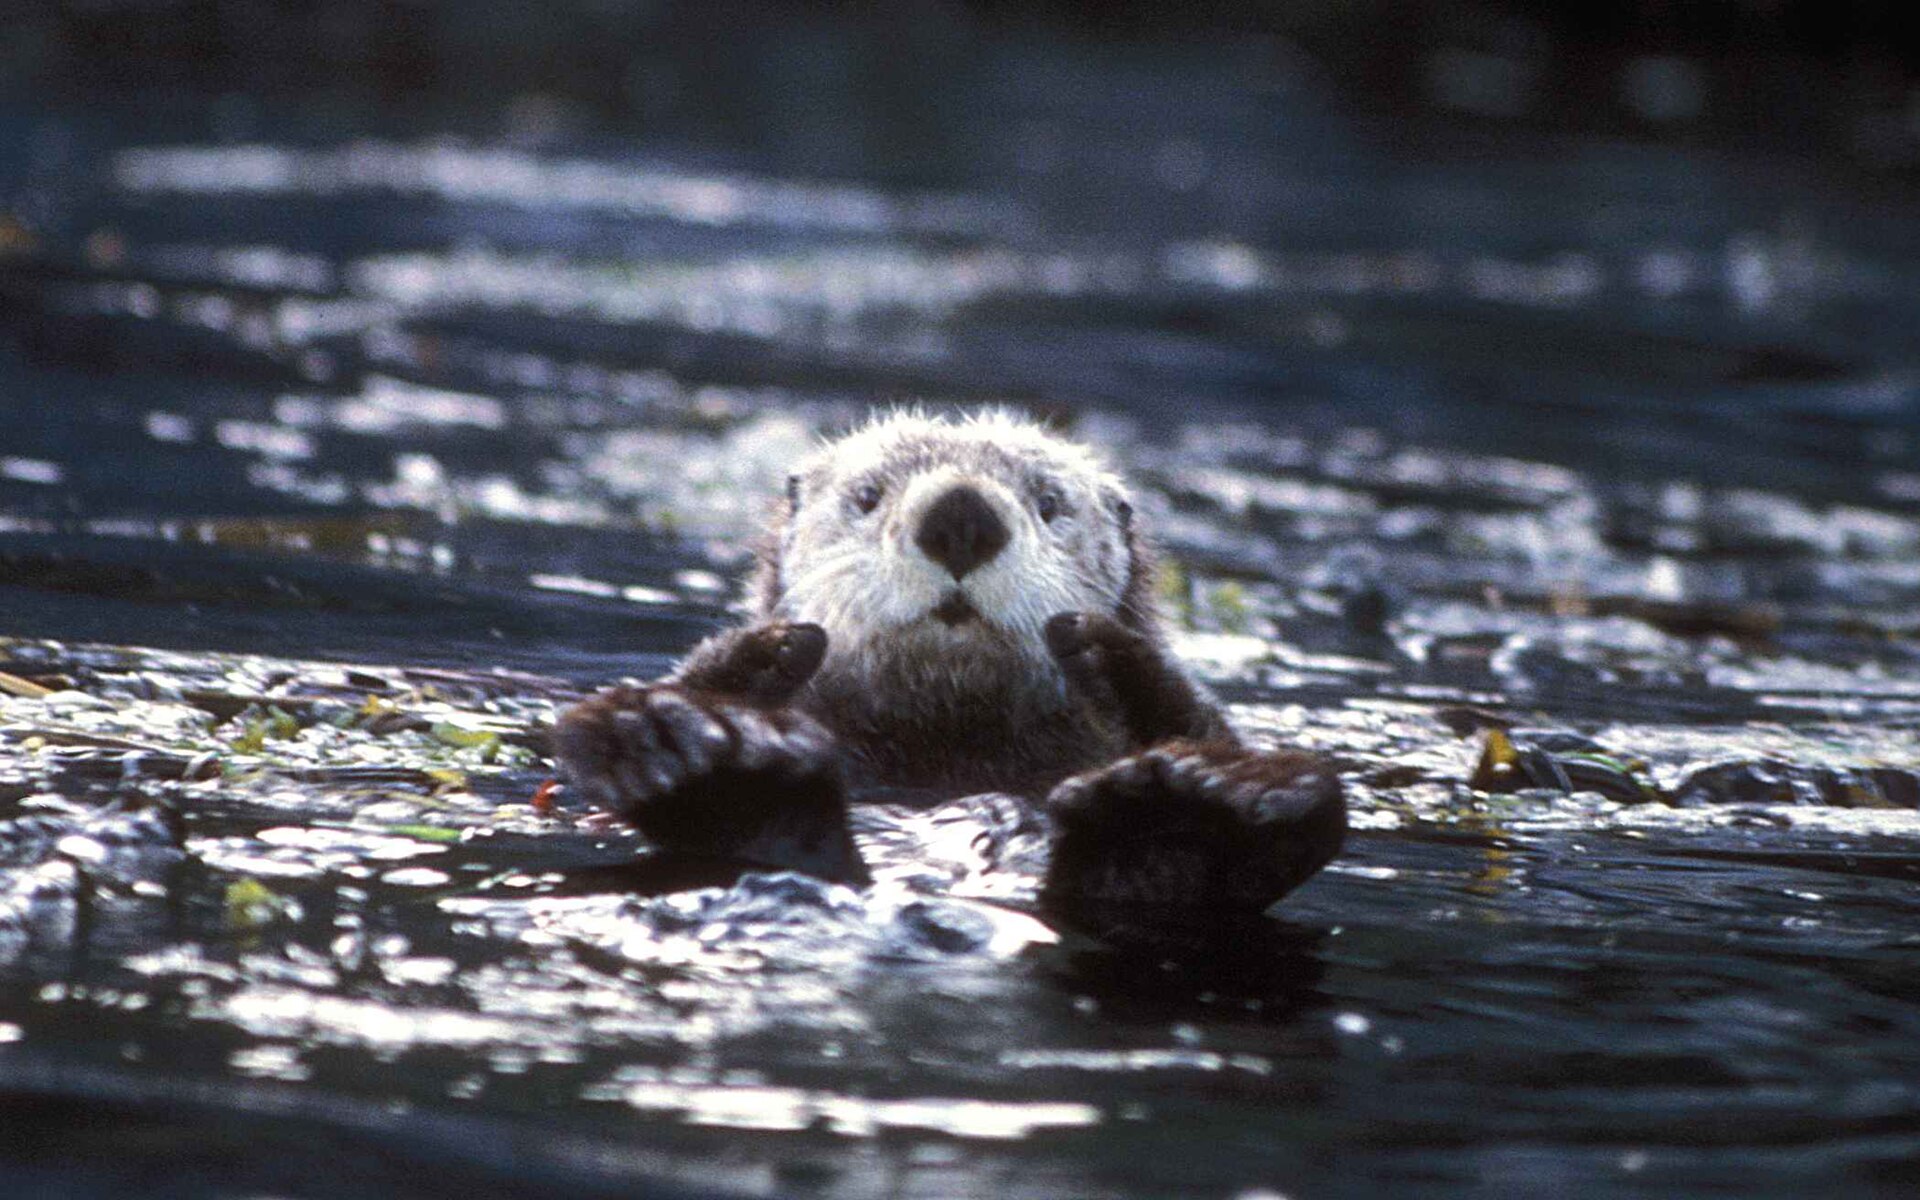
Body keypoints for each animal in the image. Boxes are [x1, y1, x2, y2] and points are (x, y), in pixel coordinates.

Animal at [554, 411, 1345, 938]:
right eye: (868, 496)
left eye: (1048, 503)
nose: (961, 513)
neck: (949, 743)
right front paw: (769, 653)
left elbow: (1195, 715)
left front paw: (1111, 654)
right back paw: (696, 751)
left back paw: (1190, 808)